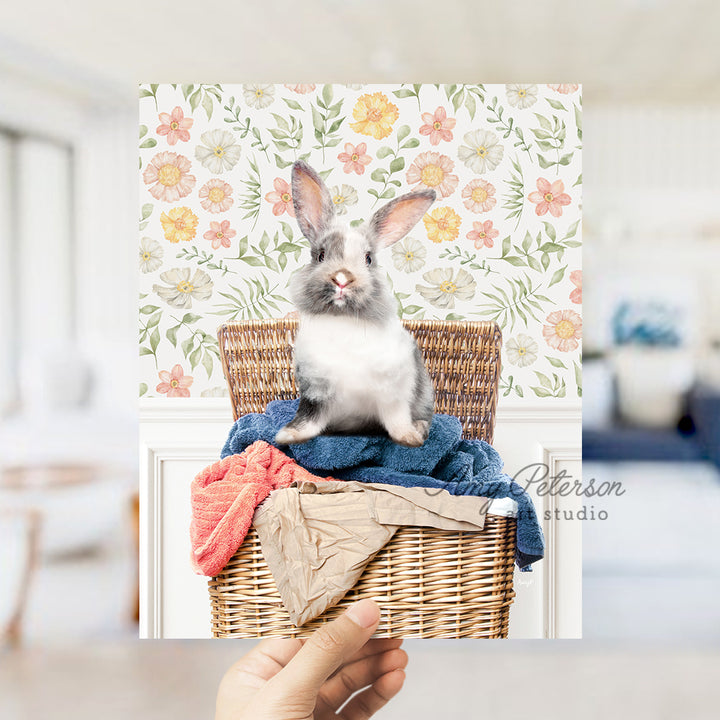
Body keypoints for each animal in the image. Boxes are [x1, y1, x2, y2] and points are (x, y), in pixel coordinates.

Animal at [274, 160, 434, 448]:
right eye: (320, 255)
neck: (343, 320)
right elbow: (309, 417)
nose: (342, 278)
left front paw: (409, 438)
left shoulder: (394, 391)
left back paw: (420, 428)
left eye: (368, 259)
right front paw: (289, 435)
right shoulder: (315, 390)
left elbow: (396, 418)